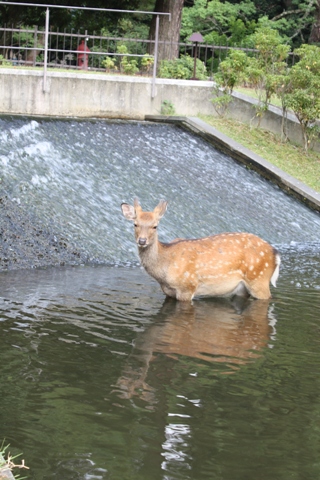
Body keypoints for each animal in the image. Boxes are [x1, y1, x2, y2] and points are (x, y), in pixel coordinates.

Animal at [120, 197, 280, 302]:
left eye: (155, 226)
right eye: (135, 224)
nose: (142, 241)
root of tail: (275, 254)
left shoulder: (188, 286)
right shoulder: (168, 292)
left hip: (259, 280)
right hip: (243, 288)